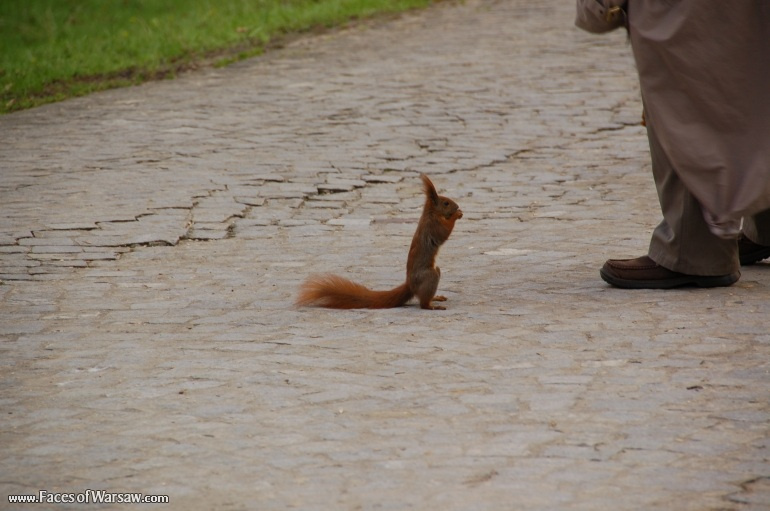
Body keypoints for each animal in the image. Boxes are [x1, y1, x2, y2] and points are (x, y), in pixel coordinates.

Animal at [297, 174, 463, 310]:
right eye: (446, 203)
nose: (457, 206)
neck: (431, 213)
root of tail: (410, 285)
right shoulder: (433, 226)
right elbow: (444, 232)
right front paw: (456, 215)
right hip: (430, 275)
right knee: (423, 303)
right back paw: (432, 305)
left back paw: (436, 297)